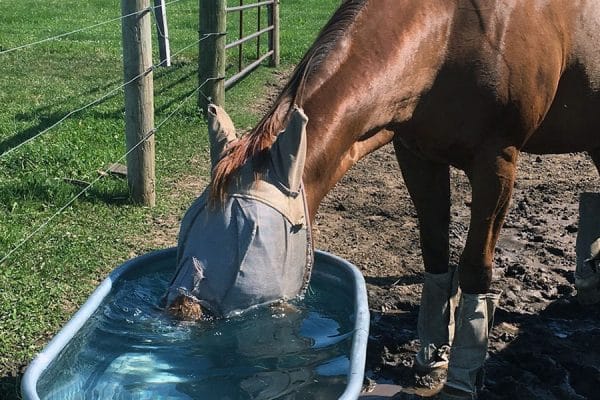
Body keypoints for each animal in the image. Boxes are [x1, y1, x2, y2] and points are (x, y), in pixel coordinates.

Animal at [211, 1, 600, 398]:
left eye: (254, 238)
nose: (195, 313)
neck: (451, 33)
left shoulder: (497, 163)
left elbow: (476, 267)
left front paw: (461, 380)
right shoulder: (416, 155)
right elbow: (434, 252)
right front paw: (432, 359)